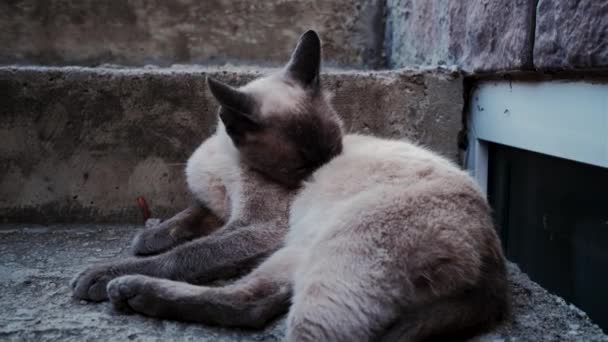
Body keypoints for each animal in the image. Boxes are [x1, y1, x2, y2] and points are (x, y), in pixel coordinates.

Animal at [71, 30, 508, 340]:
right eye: (303, 162)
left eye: (334, 151)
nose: (322, 172)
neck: (226, 162)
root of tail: (492, 264)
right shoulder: (221, 209)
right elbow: (184, 221)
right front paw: (147, 235)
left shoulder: (257, 227)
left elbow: (189, 254)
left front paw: (103, 273)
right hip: (295, 252)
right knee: (254, 303)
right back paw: (134, 293)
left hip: (325, 255)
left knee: (258, 309)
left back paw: (123, 285)